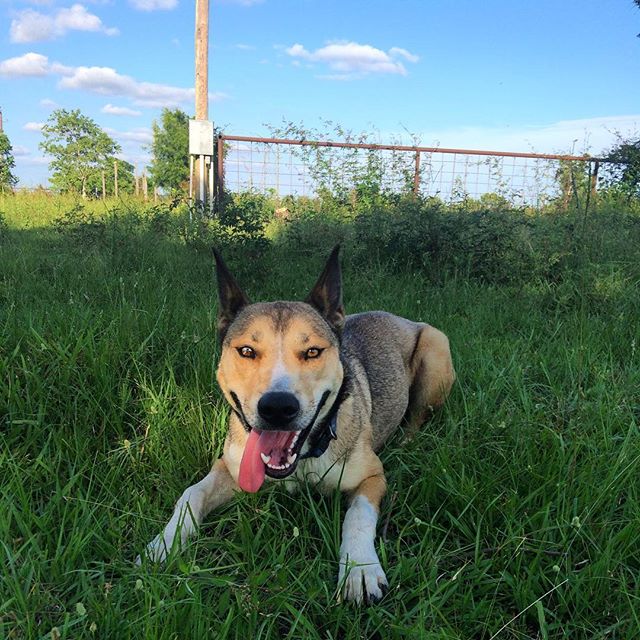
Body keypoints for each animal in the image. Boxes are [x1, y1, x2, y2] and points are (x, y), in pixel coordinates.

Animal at [142, 246, 458, 604]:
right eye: (246, 350)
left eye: (312, 351)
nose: (278, 407)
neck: (303, 458)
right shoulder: (231, 466)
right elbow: (190, 494)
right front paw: (163, 544)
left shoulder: (372, 477)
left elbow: (358, 515)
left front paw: (359, 569)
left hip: (435, 350)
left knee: (417, 416)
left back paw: (406, 443)